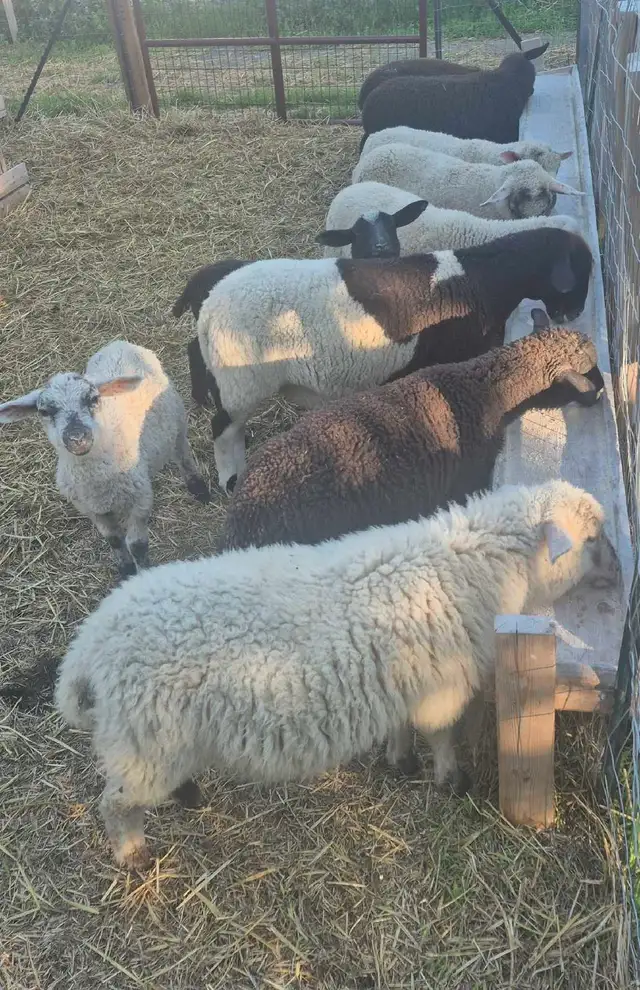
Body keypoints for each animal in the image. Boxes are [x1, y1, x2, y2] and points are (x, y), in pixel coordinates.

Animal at [0, 340, 210, 577]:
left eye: (93, 399)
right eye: (44, 411)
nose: (77, 437)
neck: (98, 477)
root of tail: (120, 343)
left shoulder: (140, 500)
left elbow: (137, 544)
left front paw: (143, 572)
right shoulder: (91, 509)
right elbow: (115, 540)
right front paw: (126, 569)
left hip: (177, 420)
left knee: (182, 452)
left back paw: (197, 486)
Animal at [55, 478, 619, 868]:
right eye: (593, 536)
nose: (619, 571)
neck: (475, 564)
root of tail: (89, 644)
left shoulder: (407, 678)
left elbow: (402, 725)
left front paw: (400, 759)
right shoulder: (442, 685)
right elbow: (441, 734)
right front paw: (451, 781)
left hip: (153, 740)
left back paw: (186, 796)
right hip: (145, 740)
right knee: (115, 803)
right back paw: (132, 854)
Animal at [193, 227, 592, 493]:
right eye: (581, 272)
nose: (574, 315)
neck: (483, 282)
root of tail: (208, 309)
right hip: (240, 384)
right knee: (223, 430)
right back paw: (231, 480)